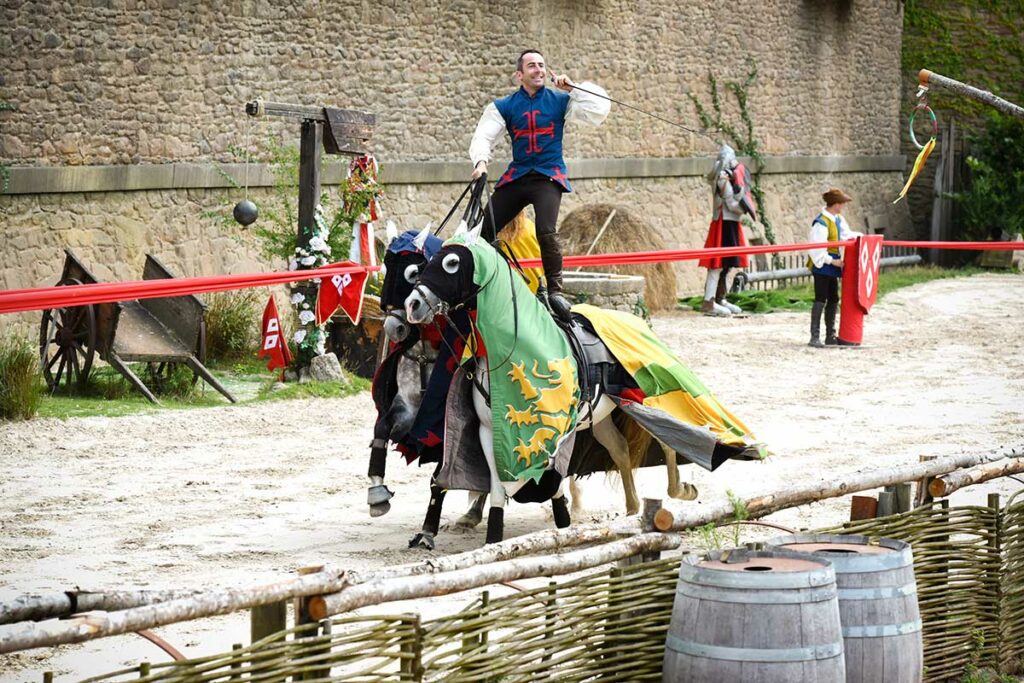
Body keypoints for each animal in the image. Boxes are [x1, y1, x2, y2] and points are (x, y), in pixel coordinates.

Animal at [403, 228, 765, 544]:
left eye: (452, 263)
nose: (412, 304)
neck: (512, 350)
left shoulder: (555, 427)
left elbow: (547, 478)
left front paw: (562, 520)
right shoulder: (489, 431)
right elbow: (498, 485)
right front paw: (494, 535)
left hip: (646, 400)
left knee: (669, 442)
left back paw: (680, 490)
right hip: (602, 416)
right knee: (620, 450)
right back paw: (632, 510)